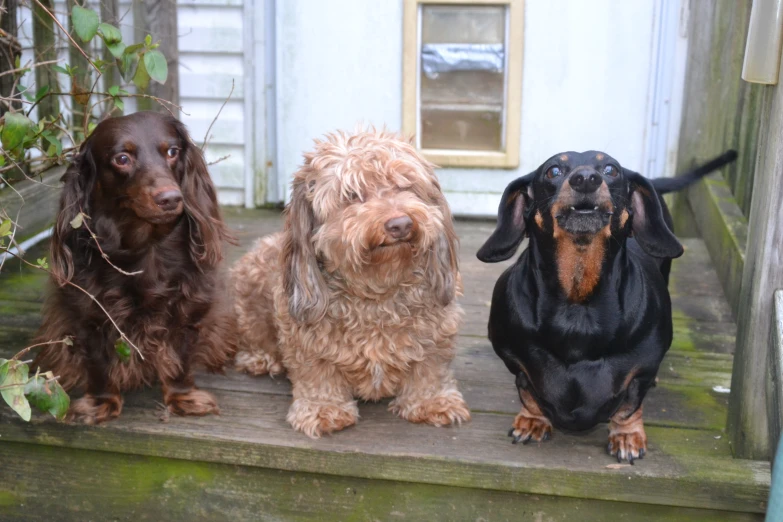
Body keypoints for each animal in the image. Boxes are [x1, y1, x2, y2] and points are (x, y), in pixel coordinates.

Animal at [33, 109, 236, 422]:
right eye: (122, 158)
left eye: (173, 152)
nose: (171, 199)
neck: (145, 247)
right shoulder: (88, 313)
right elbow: (98, 361)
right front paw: (101, 402)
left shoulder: (189, 306)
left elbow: (181, 356)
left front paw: (183, 397)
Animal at [230, 129, 468, 434]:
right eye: (351, 194)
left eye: (406, 185)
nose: (400, 224)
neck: (377, 292)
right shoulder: (304, 340)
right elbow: (317, 374)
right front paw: (324, 409)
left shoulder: (438, 335)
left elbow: (430, 367)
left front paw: (432, 401)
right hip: (250, 291)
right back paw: (260, 358)